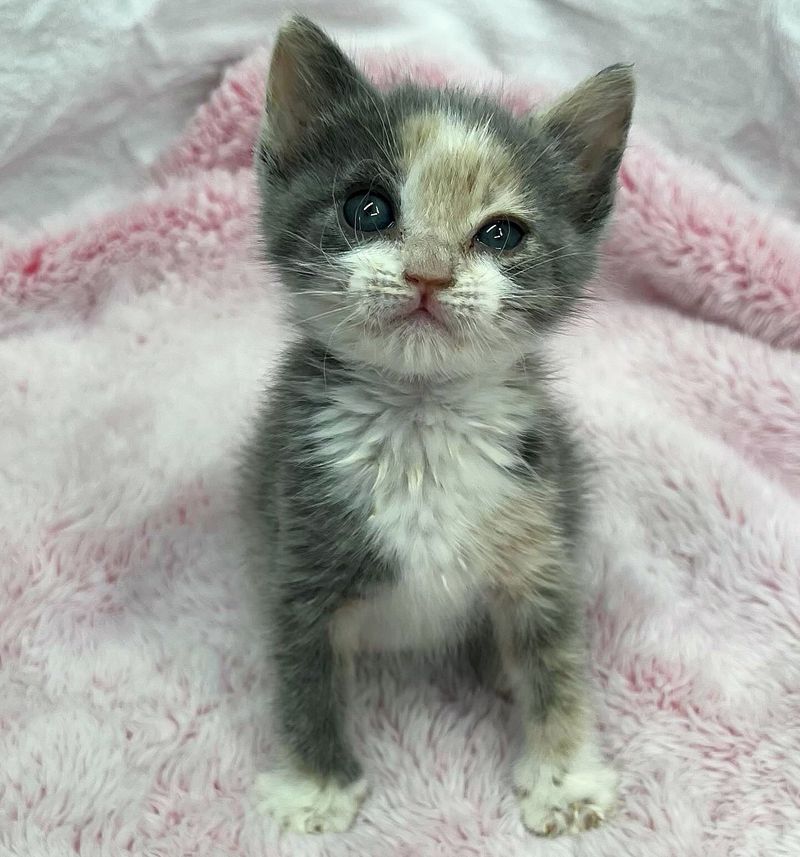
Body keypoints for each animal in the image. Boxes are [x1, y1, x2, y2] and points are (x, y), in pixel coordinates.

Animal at [241, 15, 636, 836]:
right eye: (367, 208)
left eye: (502, 234)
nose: (428, 273)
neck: (420, 420)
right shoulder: (300, 543)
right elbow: (304, 676)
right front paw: (316, 786)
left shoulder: (539, 534)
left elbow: (556, 661)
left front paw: (563, 777)